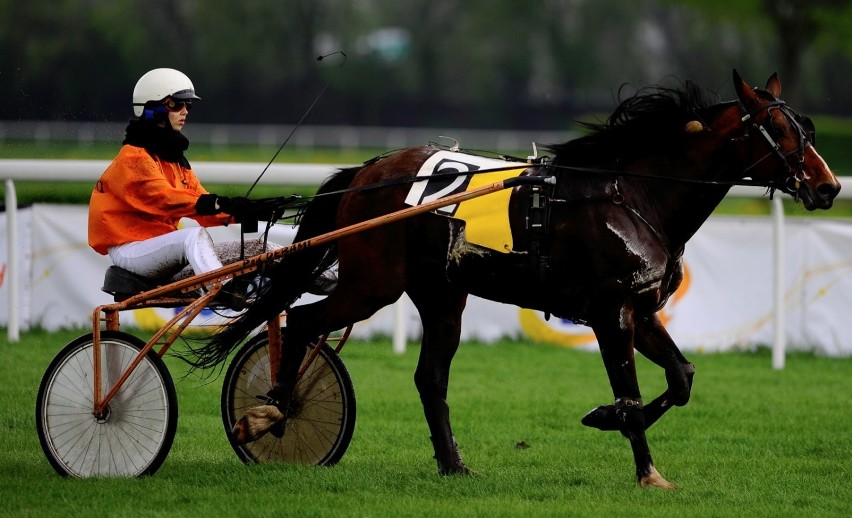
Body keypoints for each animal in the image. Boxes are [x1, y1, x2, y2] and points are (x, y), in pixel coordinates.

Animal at [188, 71, 840, 490]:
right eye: (780, 130)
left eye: (807, 128)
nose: (829, 186)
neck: (632, 194)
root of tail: (368, 172)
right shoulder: (609, 312)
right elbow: (632, 393)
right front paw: (644, 467)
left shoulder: (642, 307)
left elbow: (680, 379)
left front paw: (608, 421)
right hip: (372, 284)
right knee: (301, 321)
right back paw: (271, 412)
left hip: (442, 295)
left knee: (429, 377)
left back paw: (453, 464)